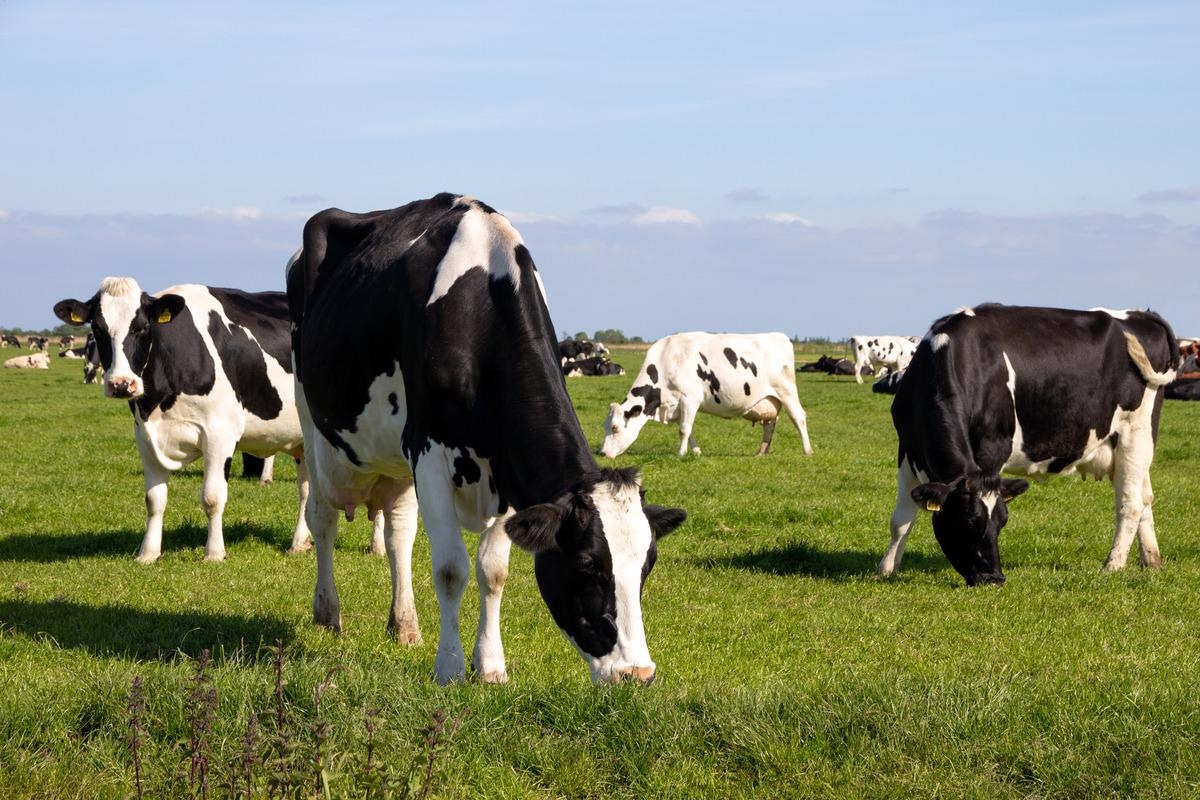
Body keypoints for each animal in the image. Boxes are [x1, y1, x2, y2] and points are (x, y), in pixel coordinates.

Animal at [54, 277, 312, 563]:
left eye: (143, 328)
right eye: (97, 328)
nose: (121, 384)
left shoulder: (220, 434)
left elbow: (212, 497)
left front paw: (214, 553)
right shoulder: (145, 437)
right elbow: (154, 499)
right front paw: (148, 554)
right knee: (307, 489)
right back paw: (300, 543)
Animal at [287, 193, 686, 685]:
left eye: (648, 564)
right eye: (586, 566)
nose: (638, 673)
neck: (478, 309)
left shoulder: (507, 466)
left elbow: (493, 571)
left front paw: (491, 665)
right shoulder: (428, 451)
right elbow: (450, 568)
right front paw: (450, 668)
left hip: (395, 459)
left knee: (399, 533)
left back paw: (404, 624)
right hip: (313, 423)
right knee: (322, 516)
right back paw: (328, 612)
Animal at [601, 332, 814, 458]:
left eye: (615, 428)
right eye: (605, 426)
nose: (602, 453)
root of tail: (779, 336)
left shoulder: (690, 398)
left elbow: (684, 430)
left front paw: (680, 454)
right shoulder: (679, 404)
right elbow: (688, 430)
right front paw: (695, 452)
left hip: (787, 391)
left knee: (799, 417)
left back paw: (807, 450)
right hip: (770, 399)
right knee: (770, 423)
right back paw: (761, 452)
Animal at [880, 304, 1178, 587]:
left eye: (1002, 522)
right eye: (968, 520)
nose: (994, 579)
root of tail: (1140, 314)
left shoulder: (992, 450)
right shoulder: (906, 449)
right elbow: (901, 520)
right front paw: (887, 569)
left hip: (1136, 432)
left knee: (1130, 502)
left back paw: (1113, 565)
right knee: (1145, 497)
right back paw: (1152, 560)